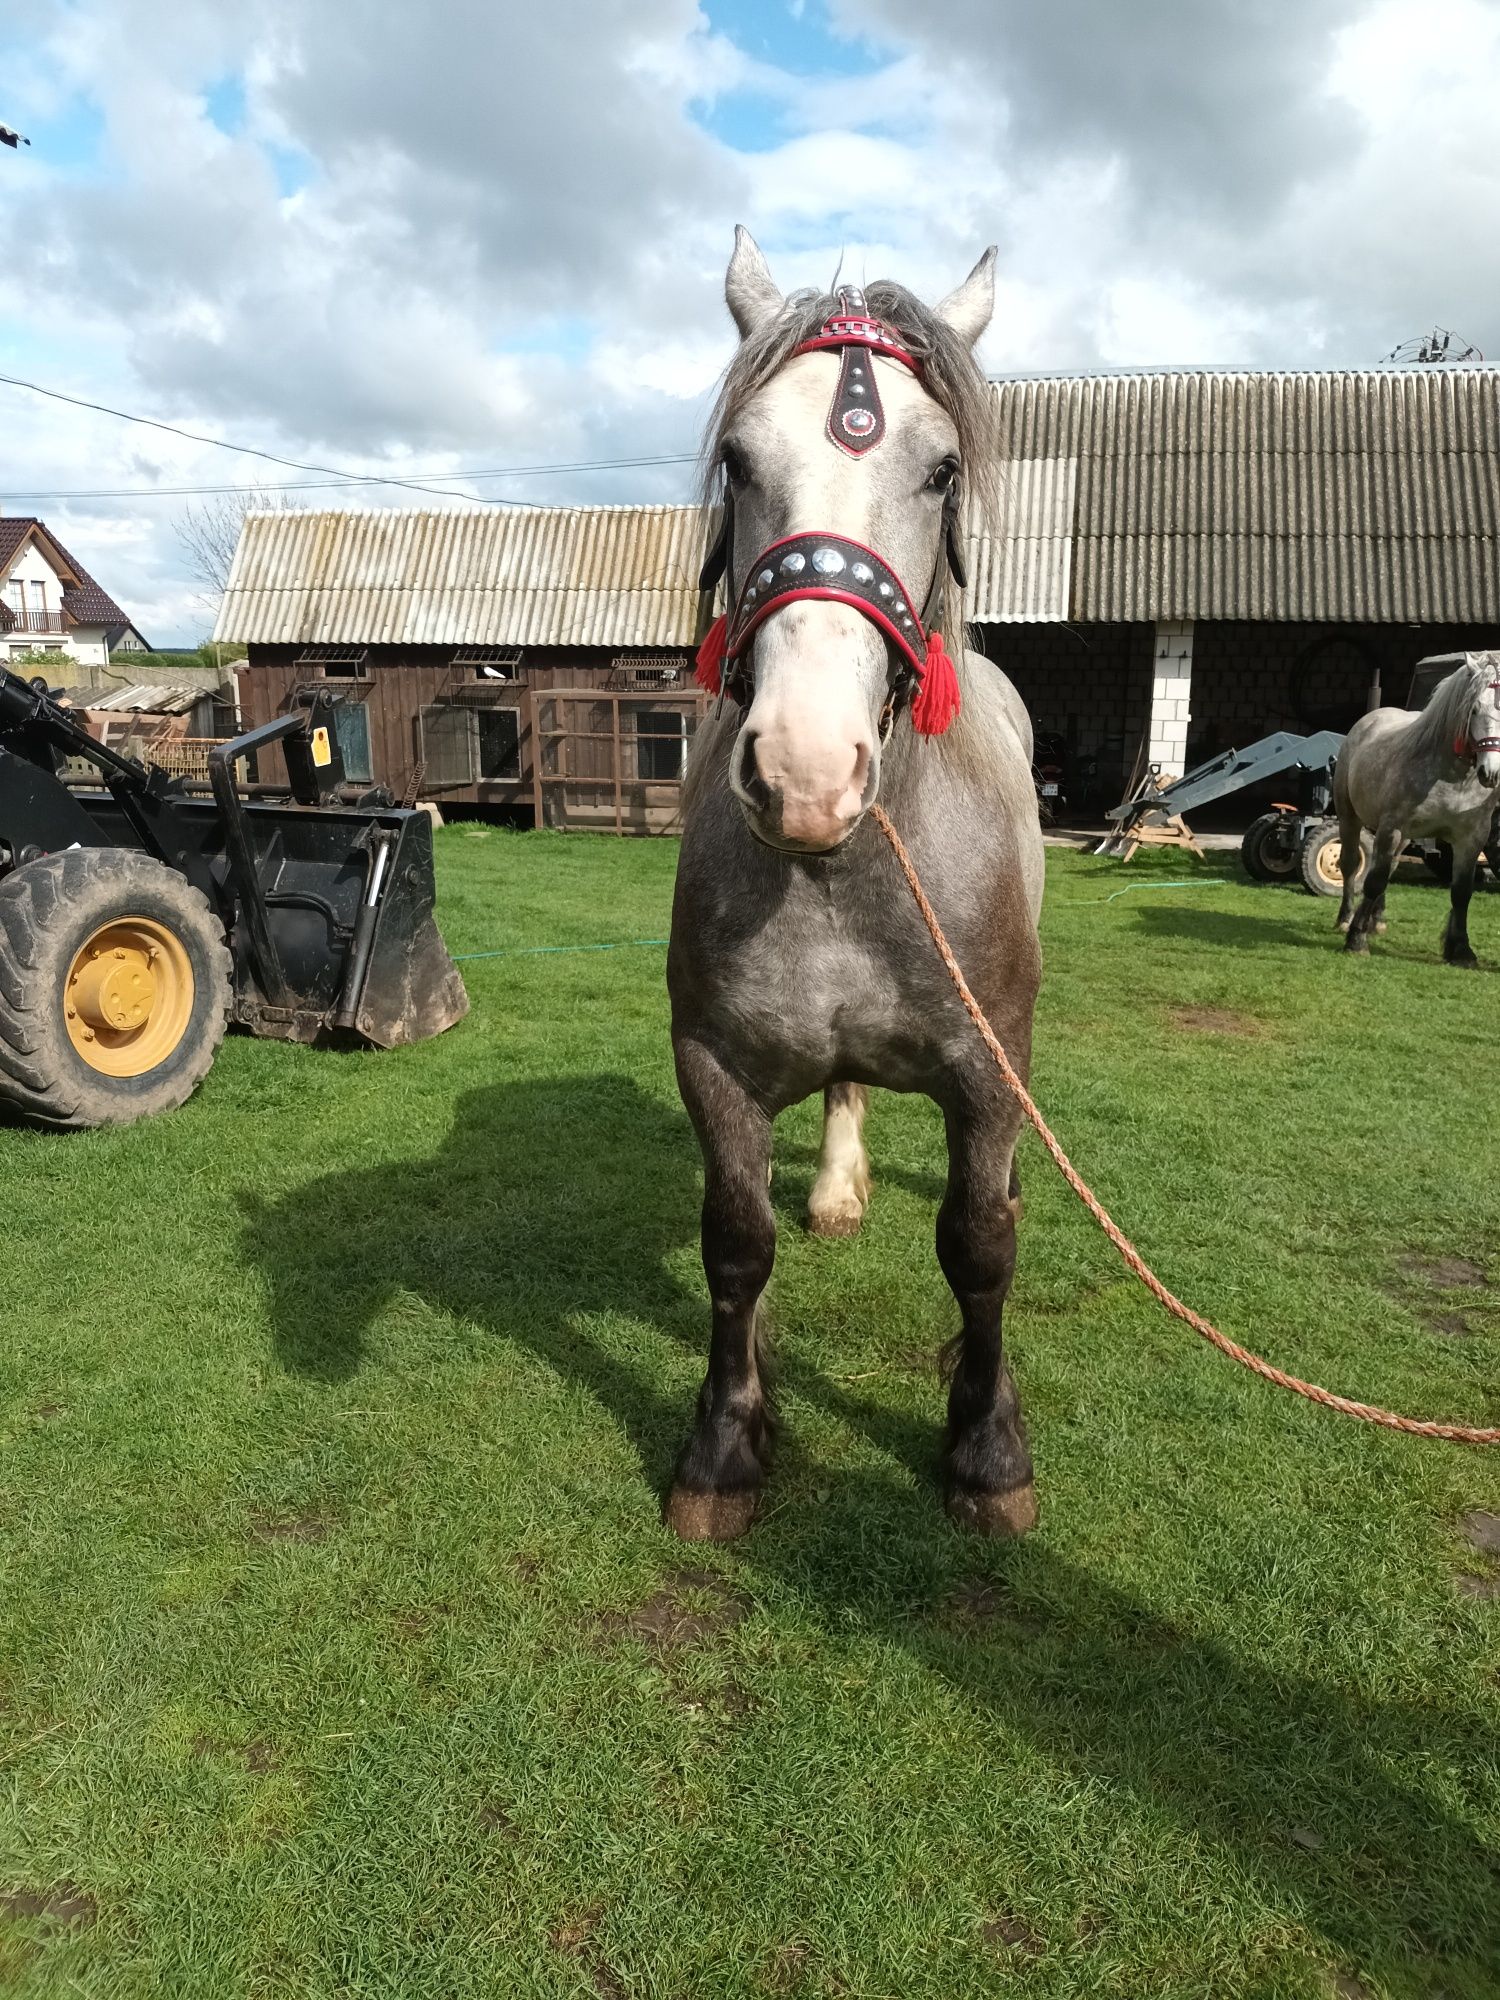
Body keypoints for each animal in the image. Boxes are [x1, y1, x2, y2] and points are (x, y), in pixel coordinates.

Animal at [668, 234, 1048, 1544]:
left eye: (941, 471)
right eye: (740, 460)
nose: (806, 769)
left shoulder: (986, 1072)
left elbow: (979, 1245)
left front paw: (986, 1445)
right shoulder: (715, 1065)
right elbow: (735, 1245)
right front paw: (726, 1440)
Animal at [1336, 656, 1500, 960]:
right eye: (1473, 709)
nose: (1491, 773)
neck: (1450, 777)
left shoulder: (1471, 839)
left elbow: (1461, 892)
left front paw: (1461, 950)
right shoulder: (1392, 827)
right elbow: (1374, 880)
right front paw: (1356, 939)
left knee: (1389, 867)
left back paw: (1376, 921)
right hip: (1350, 817)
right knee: (1352, 865)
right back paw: (1346, 918)